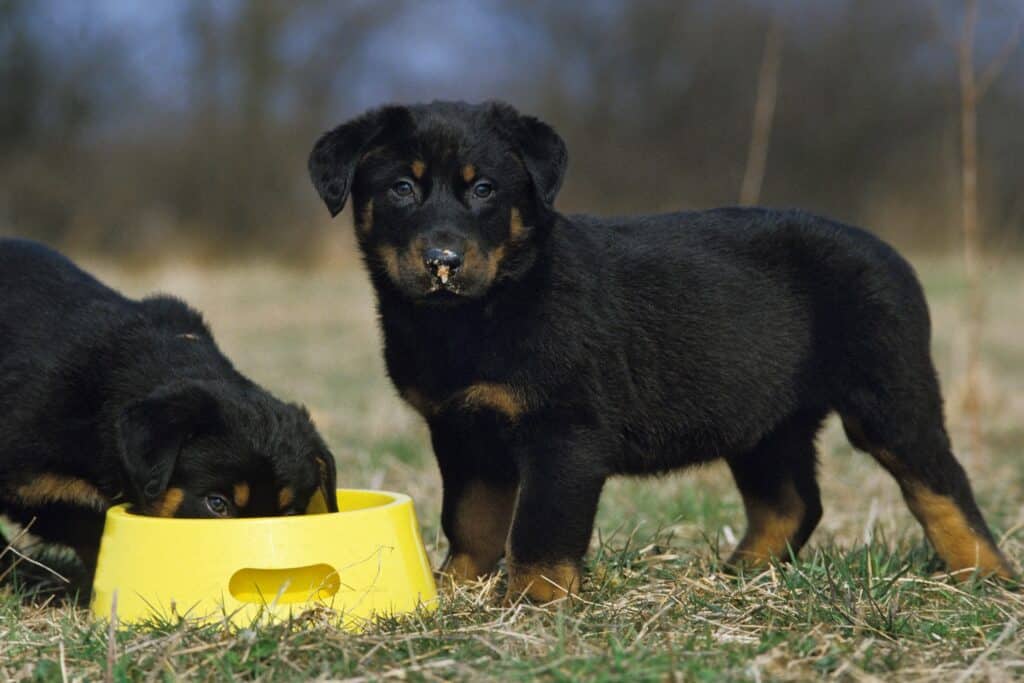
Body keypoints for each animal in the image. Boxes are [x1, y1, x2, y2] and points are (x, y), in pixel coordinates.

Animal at [307, 98, 1011, 602]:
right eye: (401, 188)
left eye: (484, 191)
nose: (444, 261)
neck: (473, 315)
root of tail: (889, 252)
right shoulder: (462, 429)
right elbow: (472, 520)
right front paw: (456, 592)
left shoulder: (564, 432)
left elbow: (538, 531)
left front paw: (531, 607)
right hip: (765, 417)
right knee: (791, 502)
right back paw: (736, 577)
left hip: (888, 394)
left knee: (941, 485)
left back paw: (985, 576)